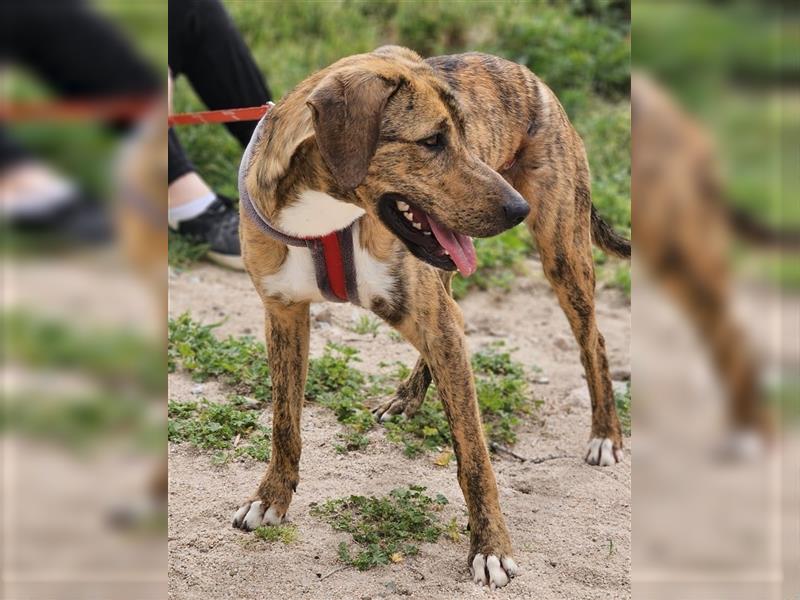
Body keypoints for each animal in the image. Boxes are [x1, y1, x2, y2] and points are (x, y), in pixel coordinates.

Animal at [231, 45, 632, 584]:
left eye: (461, 134)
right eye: (432, 141)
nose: (518, 210)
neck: (324, 216)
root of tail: (525, 72)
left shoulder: (435, 321)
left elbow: (475, 455)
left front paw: (490, 547)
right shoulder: (284, 313)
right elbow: (284, 423)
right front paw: (270, 498)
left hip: (563, 251)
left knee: (594, 341)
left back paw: (606, 435)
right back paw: (407, 396)